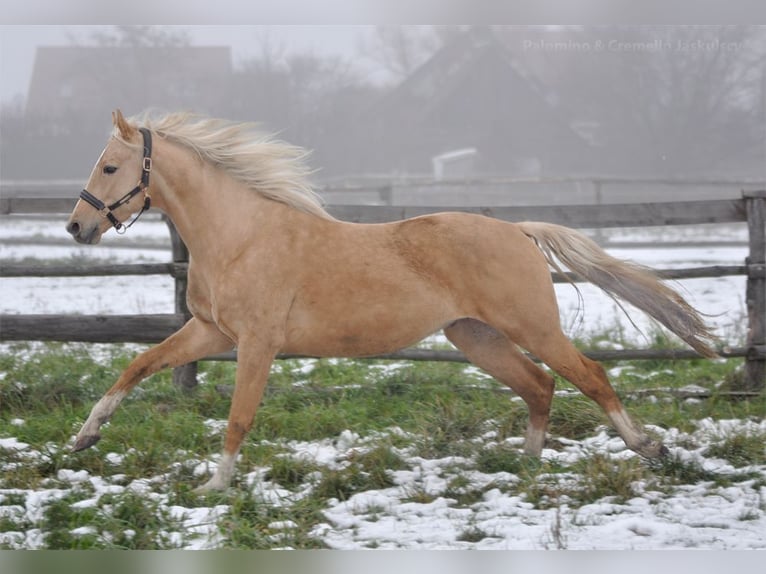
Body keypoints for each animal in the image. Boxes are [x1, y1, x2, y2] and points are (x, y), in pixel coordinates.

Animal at [65, 110, 717, 491]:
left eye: (111, 166)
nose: (77, 227)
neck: (240, 235)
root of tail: (517, 229)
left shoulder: (257, 343)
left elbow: (238, 417)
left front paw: (214, 488)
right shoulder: (210, 332)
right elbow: (137, 365)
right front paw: (85, 437)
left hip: (531, 327)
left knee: (590, 376)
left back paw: (648, 447)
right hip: (474, 335)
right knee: (539, 385)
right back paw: (525, 467)